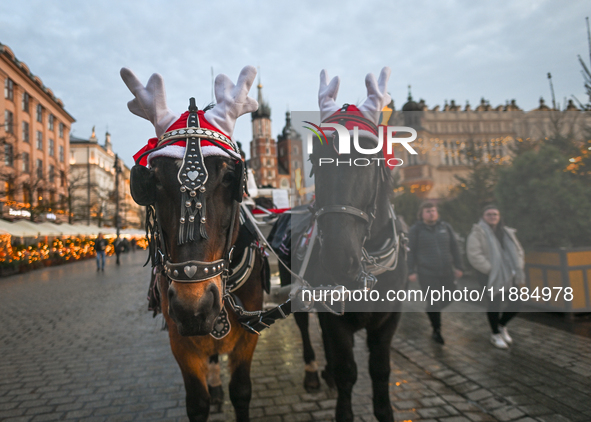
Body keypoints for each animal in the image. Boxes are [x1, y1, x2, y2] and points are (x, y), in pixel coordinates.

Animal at [122, 66, 270, 422]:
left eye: (231, 178)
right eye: (153, 181)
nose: (195, 306)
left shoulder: (249, 337)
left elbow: (241, 391)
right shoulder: (180, 341)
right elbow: (197, 401)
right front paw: (210, 394)